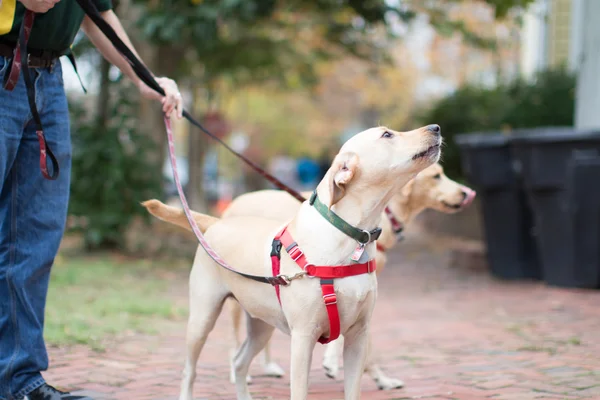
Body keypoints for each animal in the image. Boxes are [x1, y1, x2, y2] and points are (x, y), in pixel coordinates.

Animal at [141, 126, 440, 400]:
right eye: (387, 135)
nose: (435, 128)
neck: (350, 236)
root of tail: (215, 222)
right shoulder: (303, 338)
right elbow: (300, 391)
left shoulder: (358, 335)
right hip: (202, 317)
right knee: (190, 370)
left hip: (261, 326)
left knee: (239, 363)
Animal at [220, 161, 474, 390]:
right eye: (436, 176)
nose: (467, 193)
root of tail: (233, 204)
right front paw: (335, 363)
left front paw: (381, 379)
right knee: (234, 336)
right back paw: (237, 372)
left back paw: (269, 366)